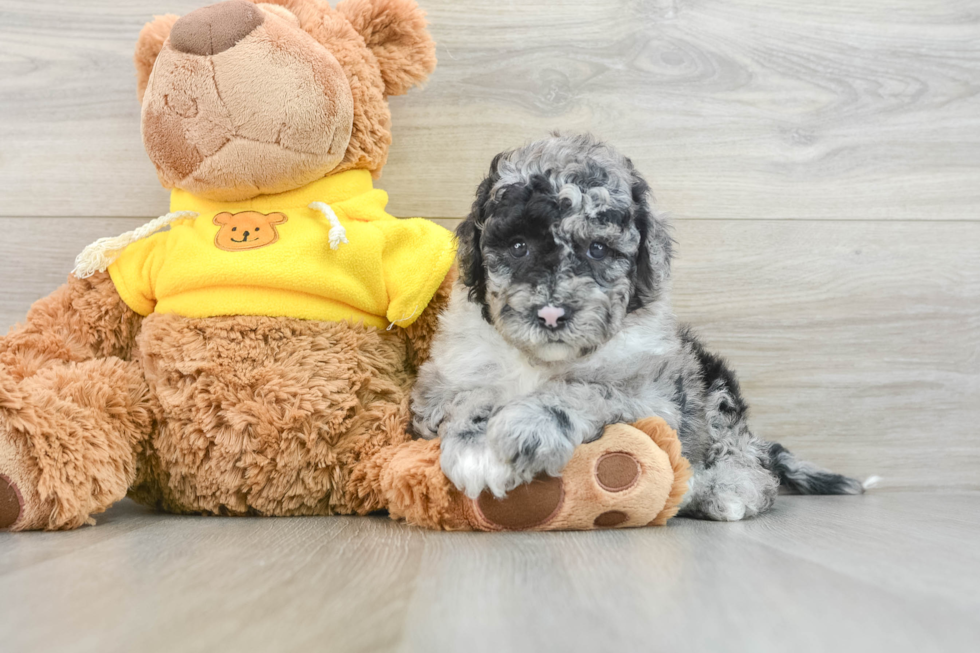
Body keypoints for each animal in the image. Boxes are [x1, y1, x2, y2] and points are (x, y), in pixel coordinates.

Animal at [412, 132, 864, 520]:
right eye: (518, 246)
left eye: (597, 249)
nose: (552, 314)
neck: (544, 362)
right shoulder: (441, 385)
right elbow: (469, 398)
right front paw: (477, 447)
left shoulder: (653, 397)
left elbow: (587, 388)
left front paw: (532, 424)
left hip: (715, 392)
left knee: (752, 467)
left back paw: (721, 490)